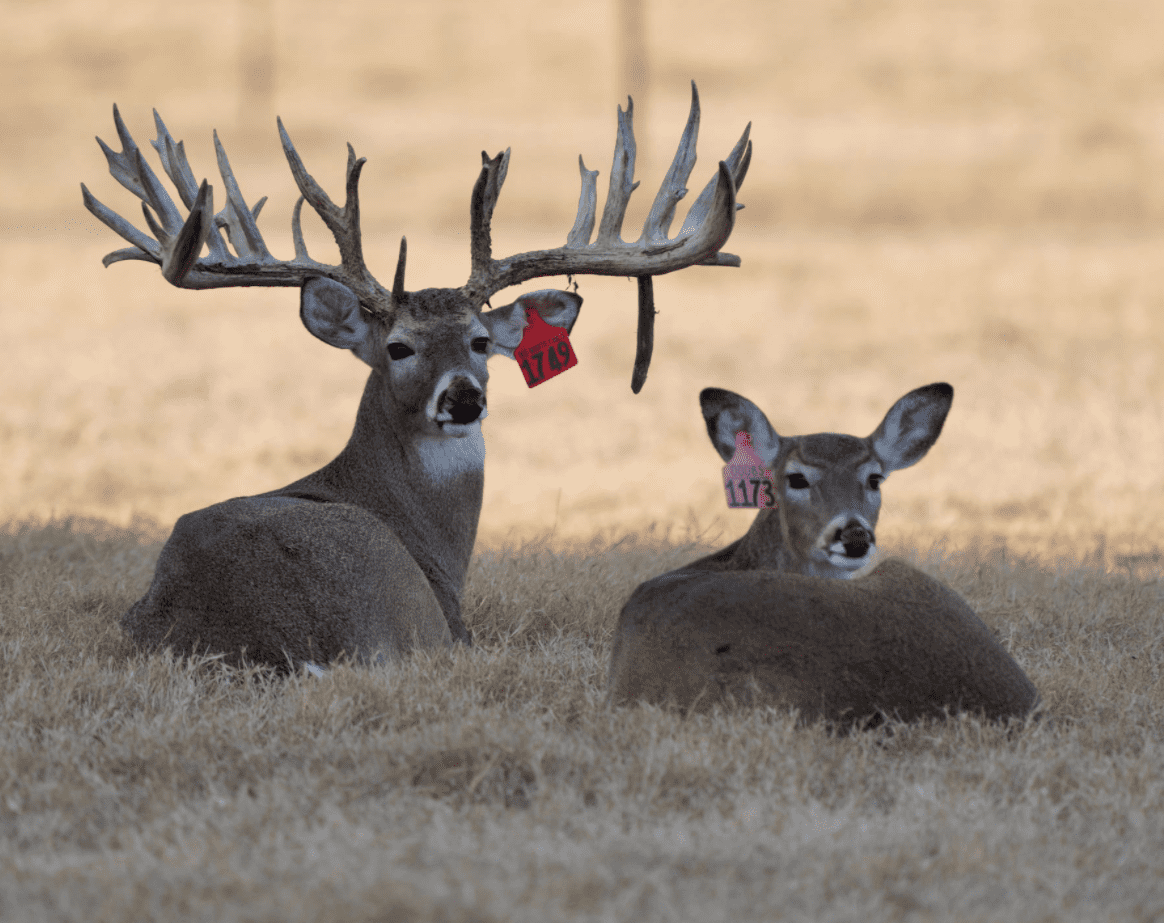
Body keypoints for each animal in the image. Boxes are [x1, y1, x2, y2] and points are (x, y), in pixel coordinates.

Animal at [82, 83, 752, 671]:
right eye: (398, 348)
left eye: (480, 341)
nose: (463, 397)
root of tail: (269, 639)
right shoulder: (448, 621)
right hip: (394, 600)